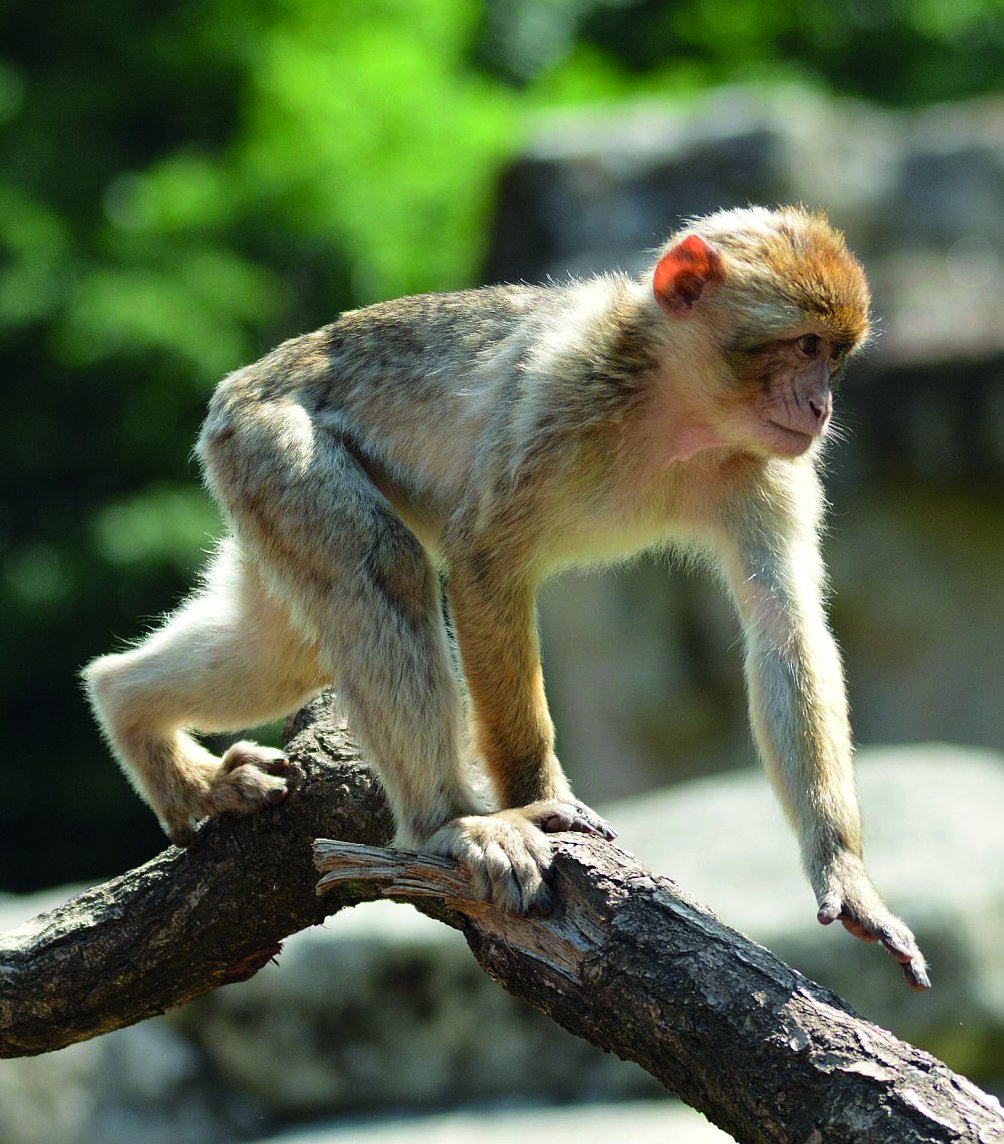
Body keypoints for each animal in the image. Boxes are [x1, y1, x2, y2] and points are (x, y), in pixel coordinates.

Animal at [83, 204, 929, 989]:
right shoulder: (559, 398)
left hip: (256, 490)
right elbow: (483, 564)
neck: (675, 410)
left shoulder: (765, 468)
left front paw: (846, 875)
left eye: (834, 357)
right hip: (271, 444)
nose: (820, 406)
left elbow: (784, 626)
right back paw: (448, 823)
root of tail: (243, 382)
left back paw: (137, 717)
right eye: (804, 347)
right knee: (381, 571)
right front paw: (537, 798)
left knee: (281, 649)